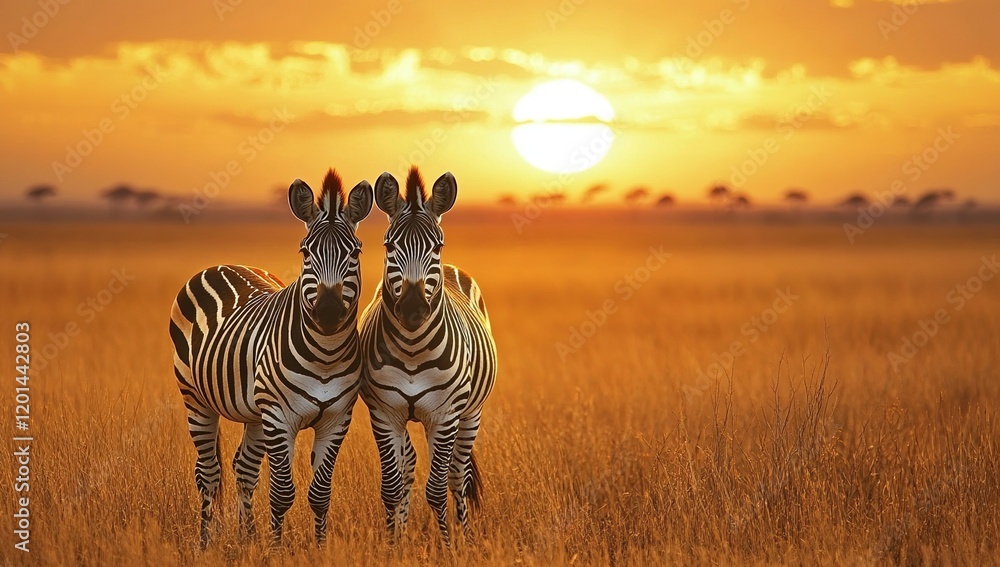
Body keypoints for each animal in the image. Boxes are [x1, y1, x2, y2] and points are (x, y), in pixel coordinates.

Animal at [168, 169, 373, 546]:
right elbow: (282, 492)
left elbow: (320, 493)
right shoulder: (279, 417)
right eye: (305, 252)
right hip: (195, 398)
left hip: (254, 412)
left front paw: (319, 549)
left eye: (355, 251)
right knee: (208, 473)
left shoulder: (337, 419)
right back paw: (206, 542)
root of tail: (222, 263)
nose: (328, 311)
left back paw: (247, 538)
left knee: (244, 469)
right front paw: (276, 549)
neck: (326, 353)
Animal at [359, 167, 498, 545]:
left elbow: (437, 490)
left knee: (457, 475)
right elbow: (391, 487)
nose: (412, 310)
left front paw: (449, 546)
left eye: (436, 246)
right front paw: (393, 544)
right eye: (389, 246)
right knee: (409, 464)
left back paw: (465, 536)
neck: (411, 349)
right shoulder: (384, 412)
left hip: (470, 414)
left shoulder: (445, 414)